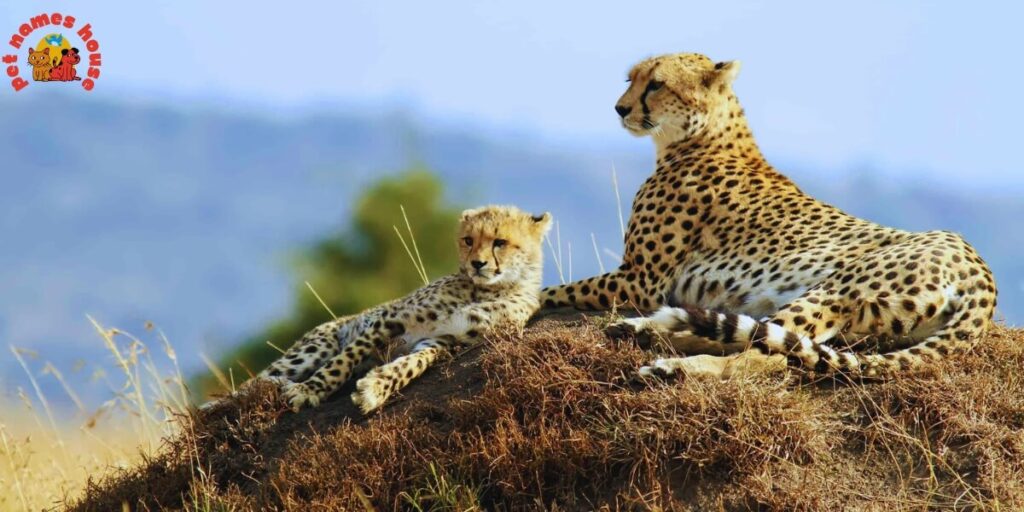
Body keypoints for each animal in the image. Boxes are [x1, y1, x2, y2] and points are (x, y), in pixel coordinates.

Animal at [257, 205, 551, 413]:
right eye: (468, 240)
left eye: (499, 242)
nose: (477, 264)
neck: (488, 289)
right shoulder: (391, 319)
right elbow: (343, 360)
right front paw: (310, 390)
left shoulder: (444, 340)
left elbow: (412, 364)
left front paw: (376, 387)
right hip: (314, 348)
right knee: (256, 383)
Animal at [542, 52, 997, 378]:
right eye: (630, 79)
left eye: (656, 84)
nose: (620, 108)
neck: (703, 135)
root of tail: (979, 267)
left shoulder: (640, 279)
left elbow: (553, 290)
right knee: (763, 340)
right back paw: (651, 331)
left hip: (834, 291)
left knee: (767, 354)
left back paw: (671, 362)